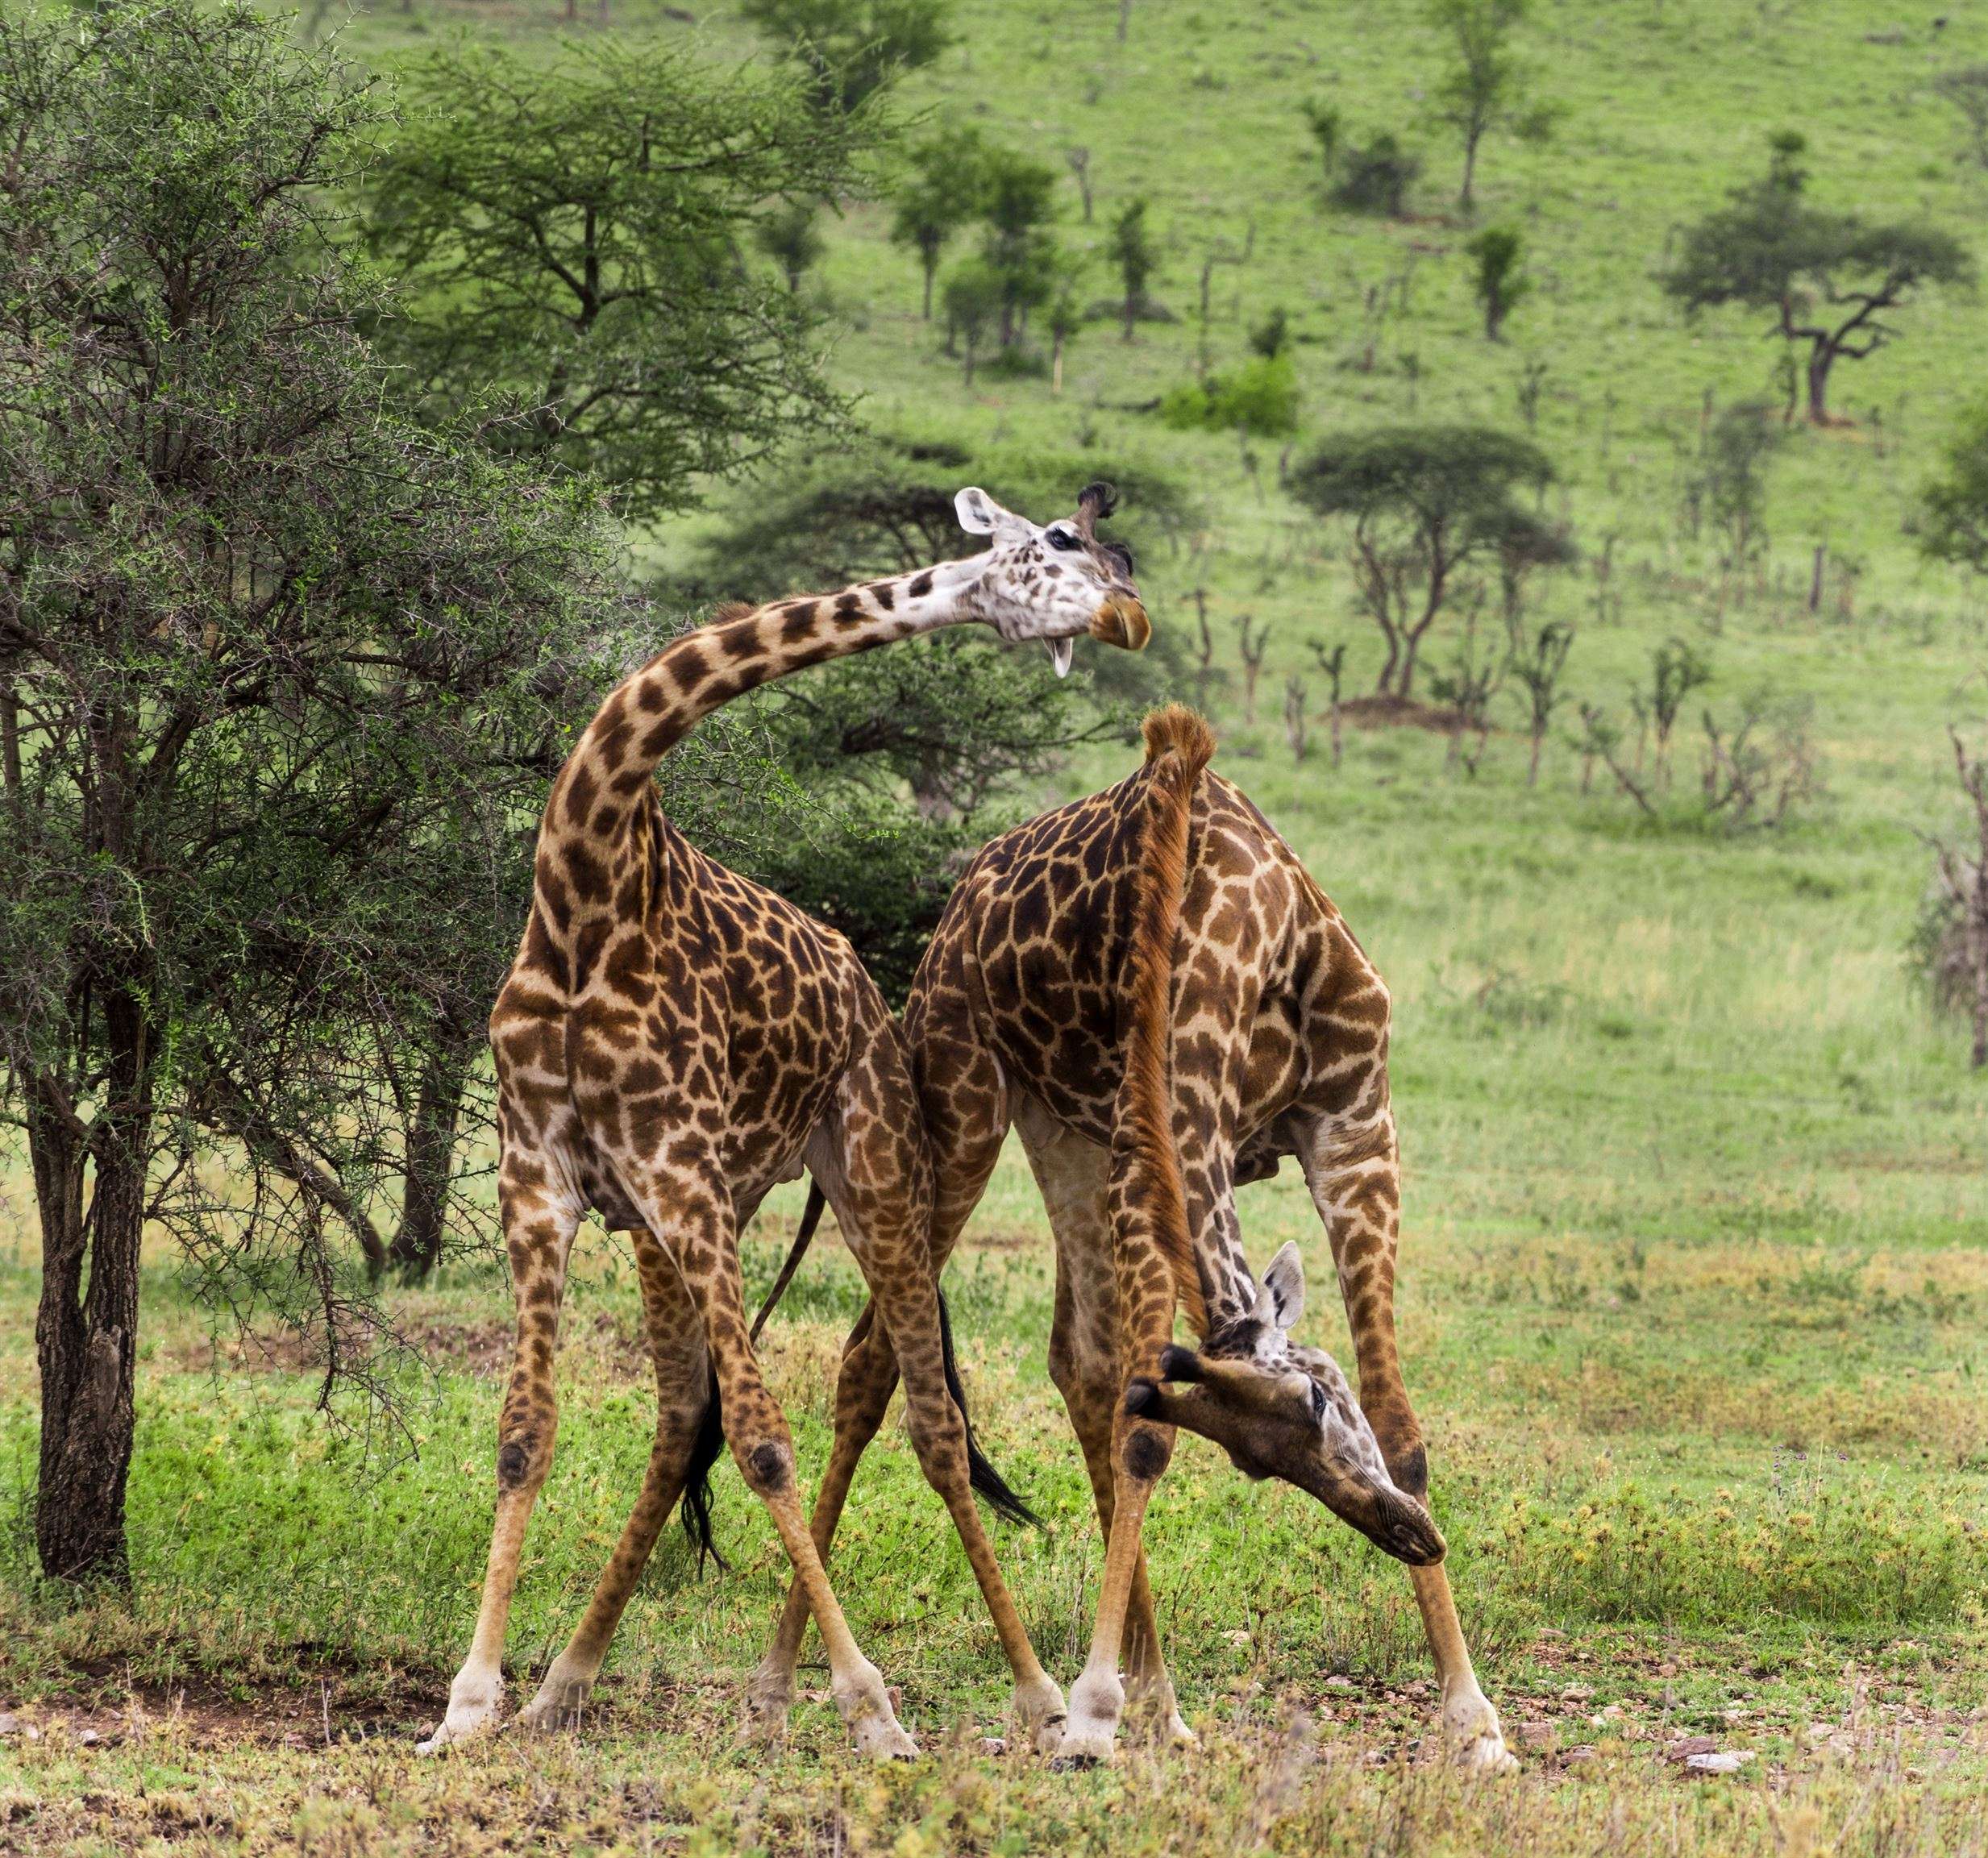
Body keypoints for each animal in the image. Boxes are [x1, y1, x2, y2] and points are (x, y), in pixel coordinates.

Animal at [417, 483, 1150, 1761]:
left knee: (929, 1421)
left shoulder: (678, 1173)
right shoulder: (545, 1179)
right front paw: (468, 1703)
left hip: (864, 1169)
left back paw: (1040, 1692)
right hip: (675, 1224)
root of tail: (866, 993)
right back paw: (568, 1681)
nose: (1129, 612)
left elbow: (765, 1438)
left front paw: (871, 1707)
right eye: (1060, 543)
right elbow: (525, 1432)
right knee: (679, 1416)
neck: (585, 891)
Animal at [747, 707, 1514, 1772]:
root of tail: (956, 909)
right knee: (878, 1360)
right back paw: (792, 1689)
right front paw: (1095, 1709)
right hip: (968, 1106)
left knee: (1082, 1367)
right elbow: (1147, 1437)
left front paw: (1475, 1722)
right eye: (1259, 1458)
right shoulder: (1157, 1151)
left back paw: (1162, 1707)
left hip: (1065, 1132)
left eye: (1319, 1404)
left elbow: (1399, 1432)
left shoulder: (1356, 1130)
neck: (1245, 932)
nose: (1411, 1537)